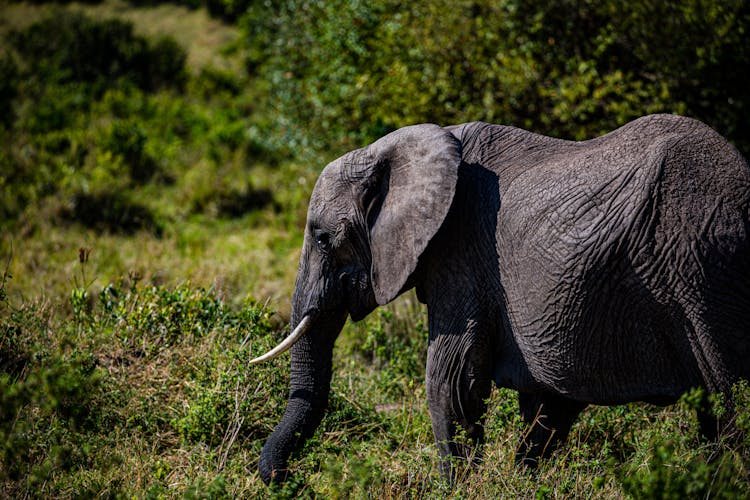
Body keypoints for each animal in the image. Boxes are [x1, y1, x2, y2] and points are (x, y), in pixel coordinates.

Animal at [253, 114, 750, 484]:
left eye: (322, 238)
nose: (289, 479)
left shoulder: (462, 252)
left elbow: (449, 380)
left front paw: (458, 489)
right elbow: (547, 403)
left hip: (702, 269)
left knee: (733, 405)